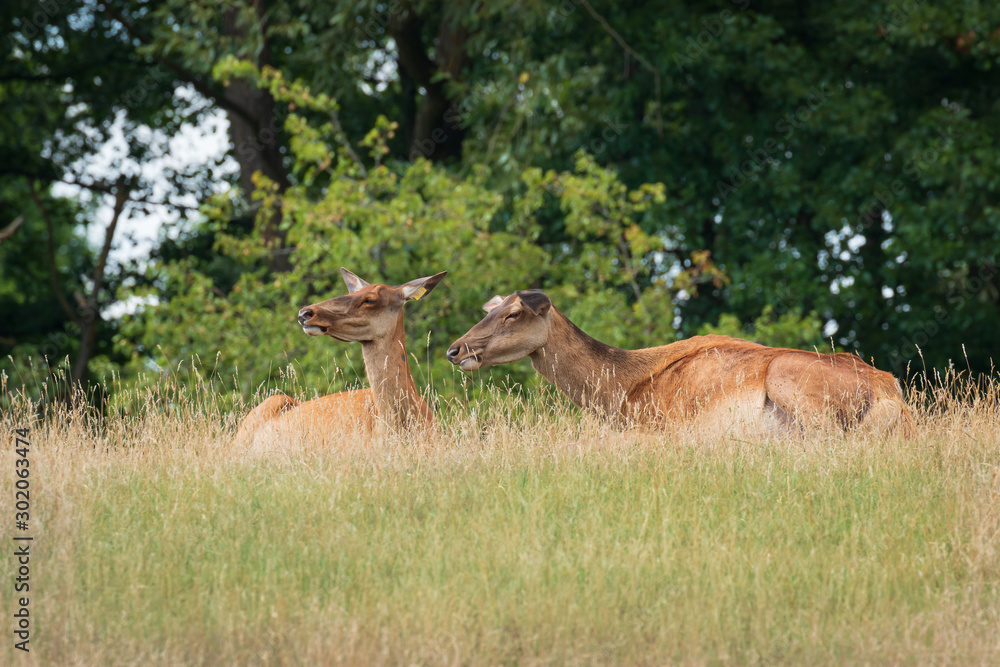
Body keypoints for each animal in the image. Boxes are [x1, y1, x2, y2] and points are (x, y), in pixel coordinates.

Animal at [447, 290, 912, 434]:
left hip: (794, 384)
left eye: (512, 314)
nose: (455, 349)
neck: (620, 394)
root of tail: (893, 396)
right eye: (488, 309)